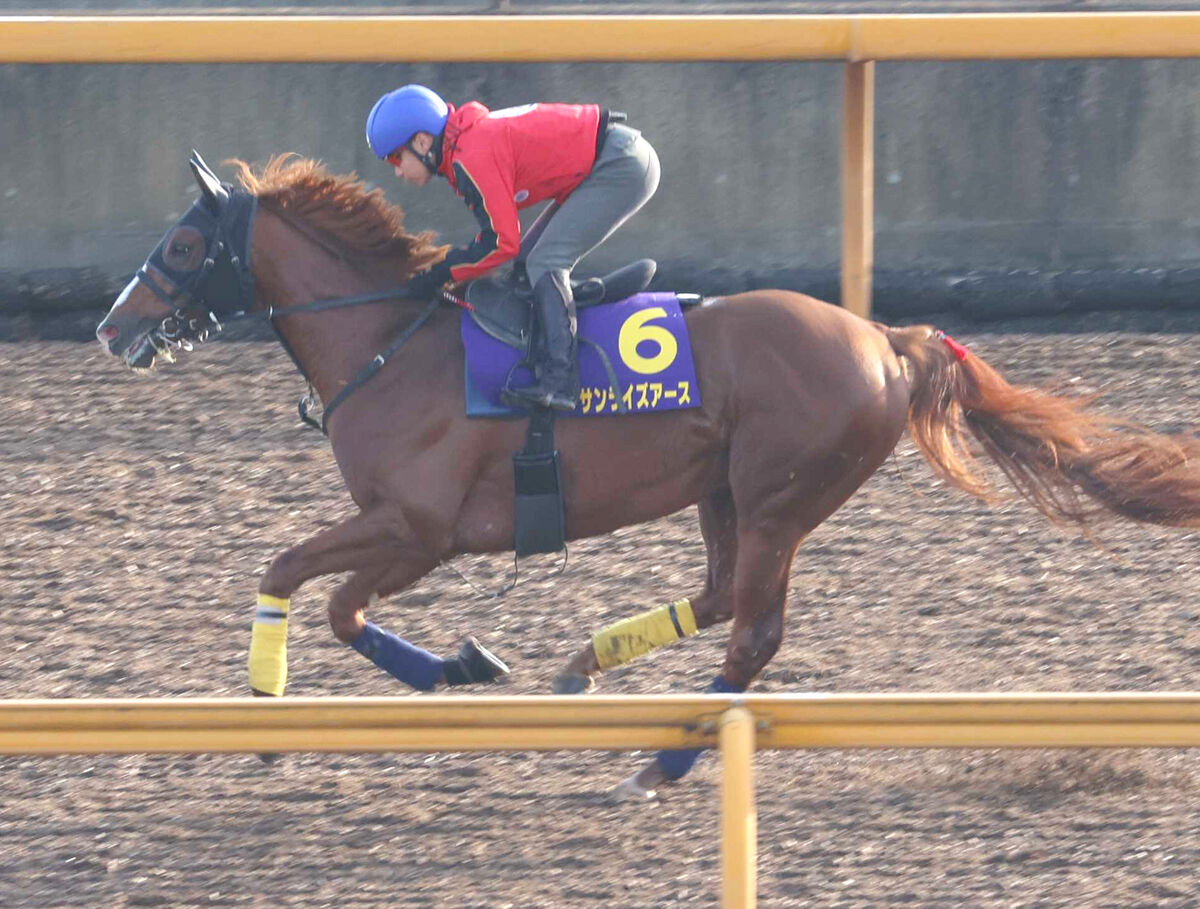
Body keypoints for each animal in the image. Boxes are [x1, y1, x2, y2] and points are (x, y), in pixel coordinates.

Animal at [96, 154, 1200, 796]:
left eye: (184, 242)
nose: (112, 328)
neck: (391, 343)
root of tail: (886, 338)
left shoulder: (421, 527)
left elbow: (311, 589)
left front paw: (311, 702)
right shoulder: (411, 531)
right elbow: (318, 593)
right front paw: (446, 668)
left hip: (778, 497)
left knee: (752, 631)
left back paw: (664, 755)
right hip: (727, 492)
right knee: (717, 601)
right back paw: (588, 665)